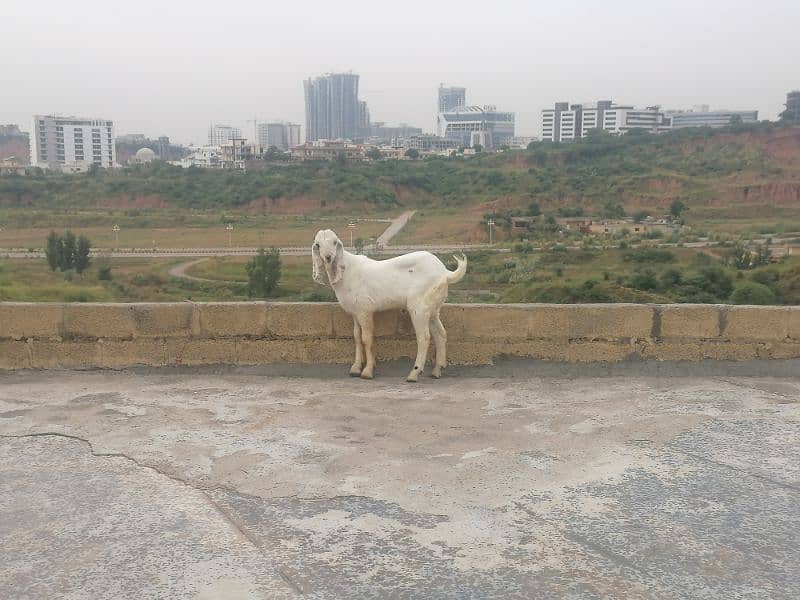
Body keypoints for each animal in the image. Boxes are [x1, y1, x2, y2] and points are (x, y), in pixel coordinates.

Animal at [310, 227, 466, 382]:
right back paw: (436, 370)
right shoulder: (355, 311)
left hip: (419, 307)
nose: (328, 257)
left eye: (335, 242)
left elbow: (367, 339)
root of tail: (445, 273)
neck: (347, 270)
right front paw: (355, 368)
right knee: (440, 334)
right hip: (432, 307)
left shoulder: (364, 310)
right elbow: (357, 337)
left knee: (424, 337)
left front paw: (367, 371)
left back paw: (414, 373)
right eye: (318, 245)